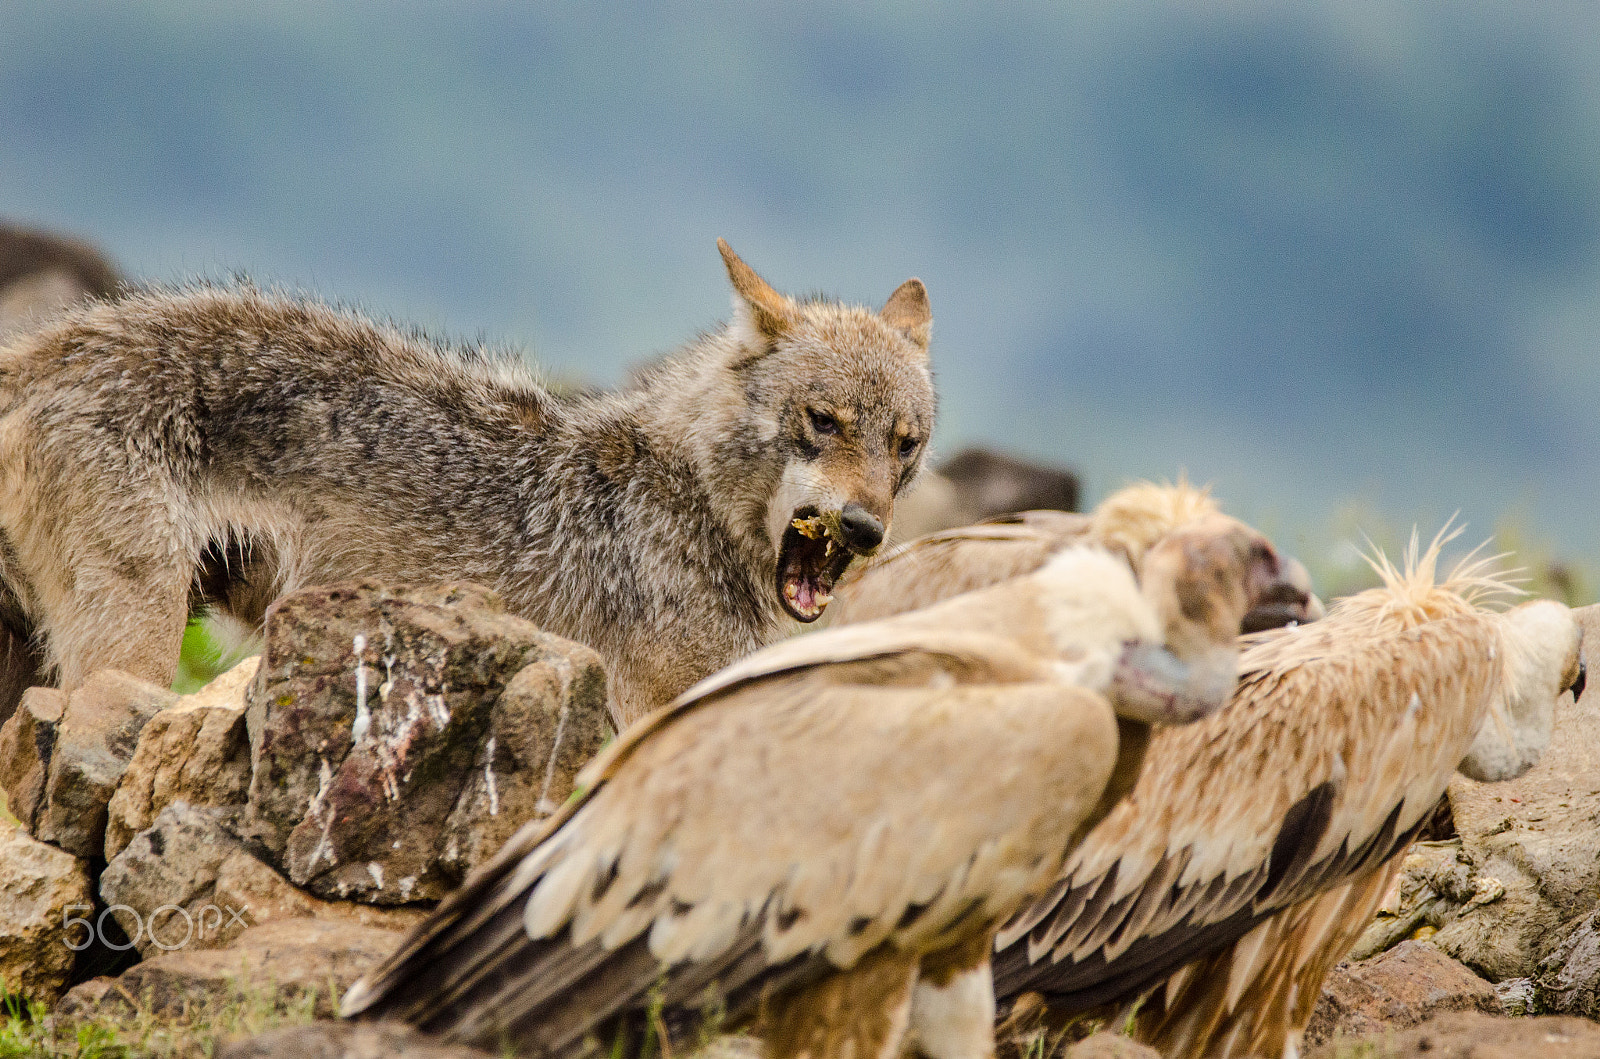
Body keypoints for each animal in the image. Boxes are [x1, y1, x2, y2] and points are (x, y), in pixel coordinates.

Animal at [0, 240, 936, 727]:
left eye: (905, 444)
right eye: (823, 420)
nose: (864, 529)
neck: (685, 498)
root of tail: (40, 352)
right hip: (131, 655)